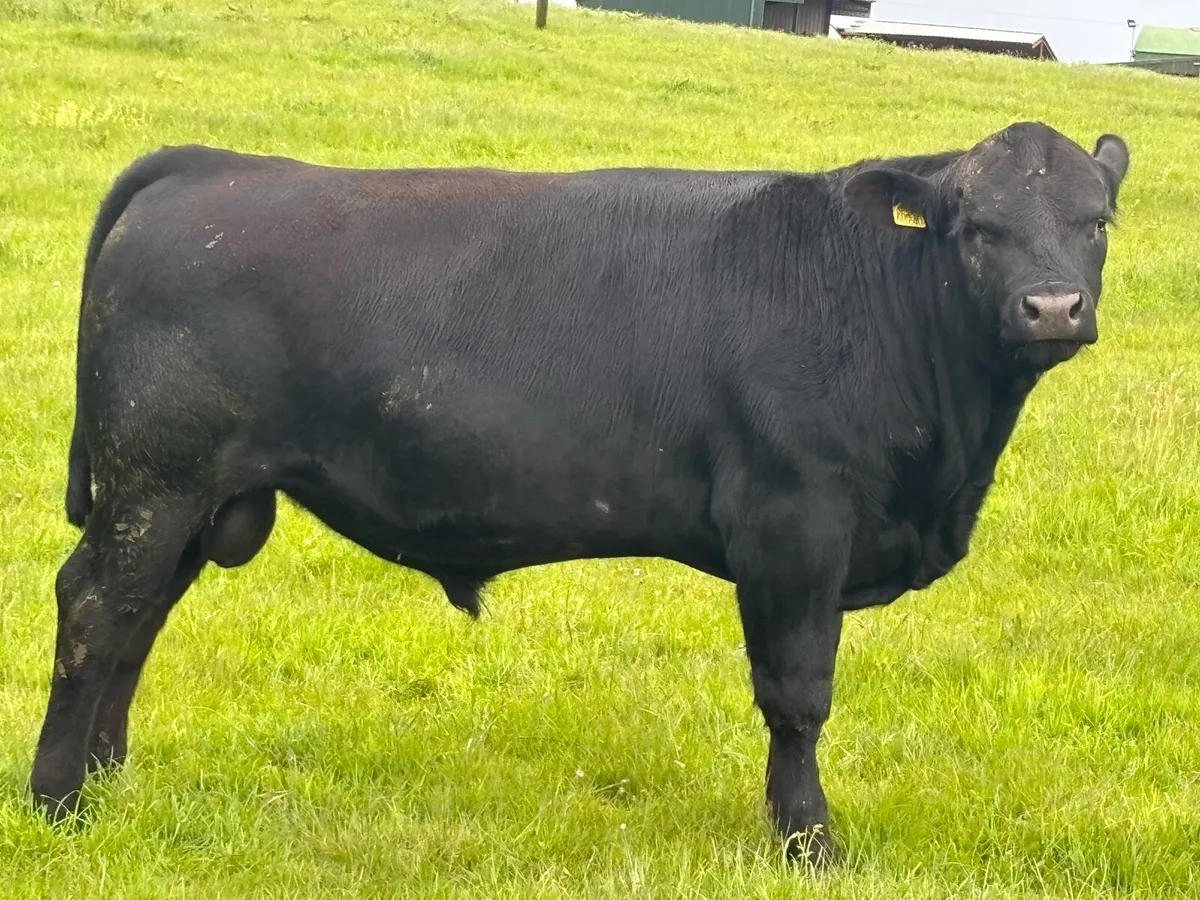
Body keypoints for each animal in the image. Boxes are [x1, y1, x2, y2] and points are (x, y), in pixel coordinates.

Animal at [32, 121, 1128, 864]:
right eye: (975, 226)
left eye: (1096, 222)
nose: (1052, 307)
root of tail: (213, 162)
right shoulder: (796, 523)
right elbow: (797, 694)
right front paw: (808, 843)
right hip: (154, 479)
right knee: (96, 610)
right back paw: (57, 801)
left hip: (189, 499)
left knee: (136, 622)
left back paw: (108, 780)